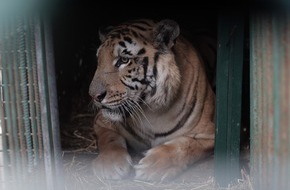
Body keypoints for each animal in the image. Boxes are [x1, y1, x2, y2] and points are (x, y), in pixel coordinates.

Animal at [88, 18, 215, 181]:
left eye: (124, 60)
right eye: (99, 60)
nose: (94, 96)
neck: (151, 111)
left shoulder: (210, 134)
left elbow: (185, 145)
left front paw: (154, 165)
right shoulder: (101, 122)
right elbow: (108, 139)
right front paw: (109, 164)